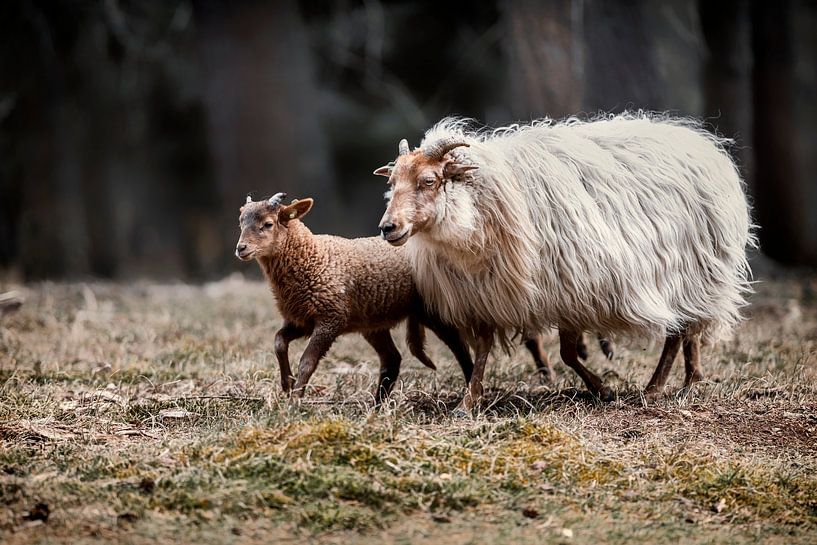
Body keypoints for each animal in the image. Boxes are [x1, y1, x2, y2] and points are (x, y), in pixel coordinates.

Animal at [235, 192, 476, 402]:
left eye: (268, 224)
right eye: (241, 222)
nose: (241, 248)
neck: (312, 257)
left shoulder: (331, 318)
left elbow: (307, 361)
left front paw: (294, 400)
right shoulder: (302, 320)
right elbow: (278, 342)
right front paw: (286, 383)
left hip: (431, 311)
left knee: (459, 347)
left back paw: (470, 390)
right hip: (372, 323)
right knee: (392, 359)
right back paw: (377, 406)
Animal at [375, 113, 755, 410]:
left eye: (428, 181)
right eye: (391, 182)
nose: (387, 228)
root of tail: (704, 143)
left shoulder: (572, 291)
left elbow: (569, 354)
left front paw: (602, 389)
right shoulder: (486, 298)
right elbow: (482, 351)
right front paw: (468, 403)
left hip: (693, 271)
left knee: (681, 333)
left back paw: (660, 387)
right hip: (693, 277)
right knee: (688, 330)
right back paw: (688, 381)